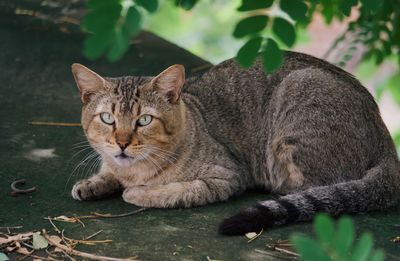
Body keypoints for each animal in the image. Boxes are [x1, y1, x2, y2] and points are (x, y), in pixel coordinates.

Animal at [70, 50, 398, 234]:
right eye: (107, 119)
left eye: (144, 120)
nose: (122, 143)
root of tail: (384, 135)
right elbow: (108, 171)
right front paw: (93, 183)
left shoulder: (225, 177)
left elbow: (174, 191)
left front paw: (137, 192)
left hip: (296, 104)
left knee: (317, 188)